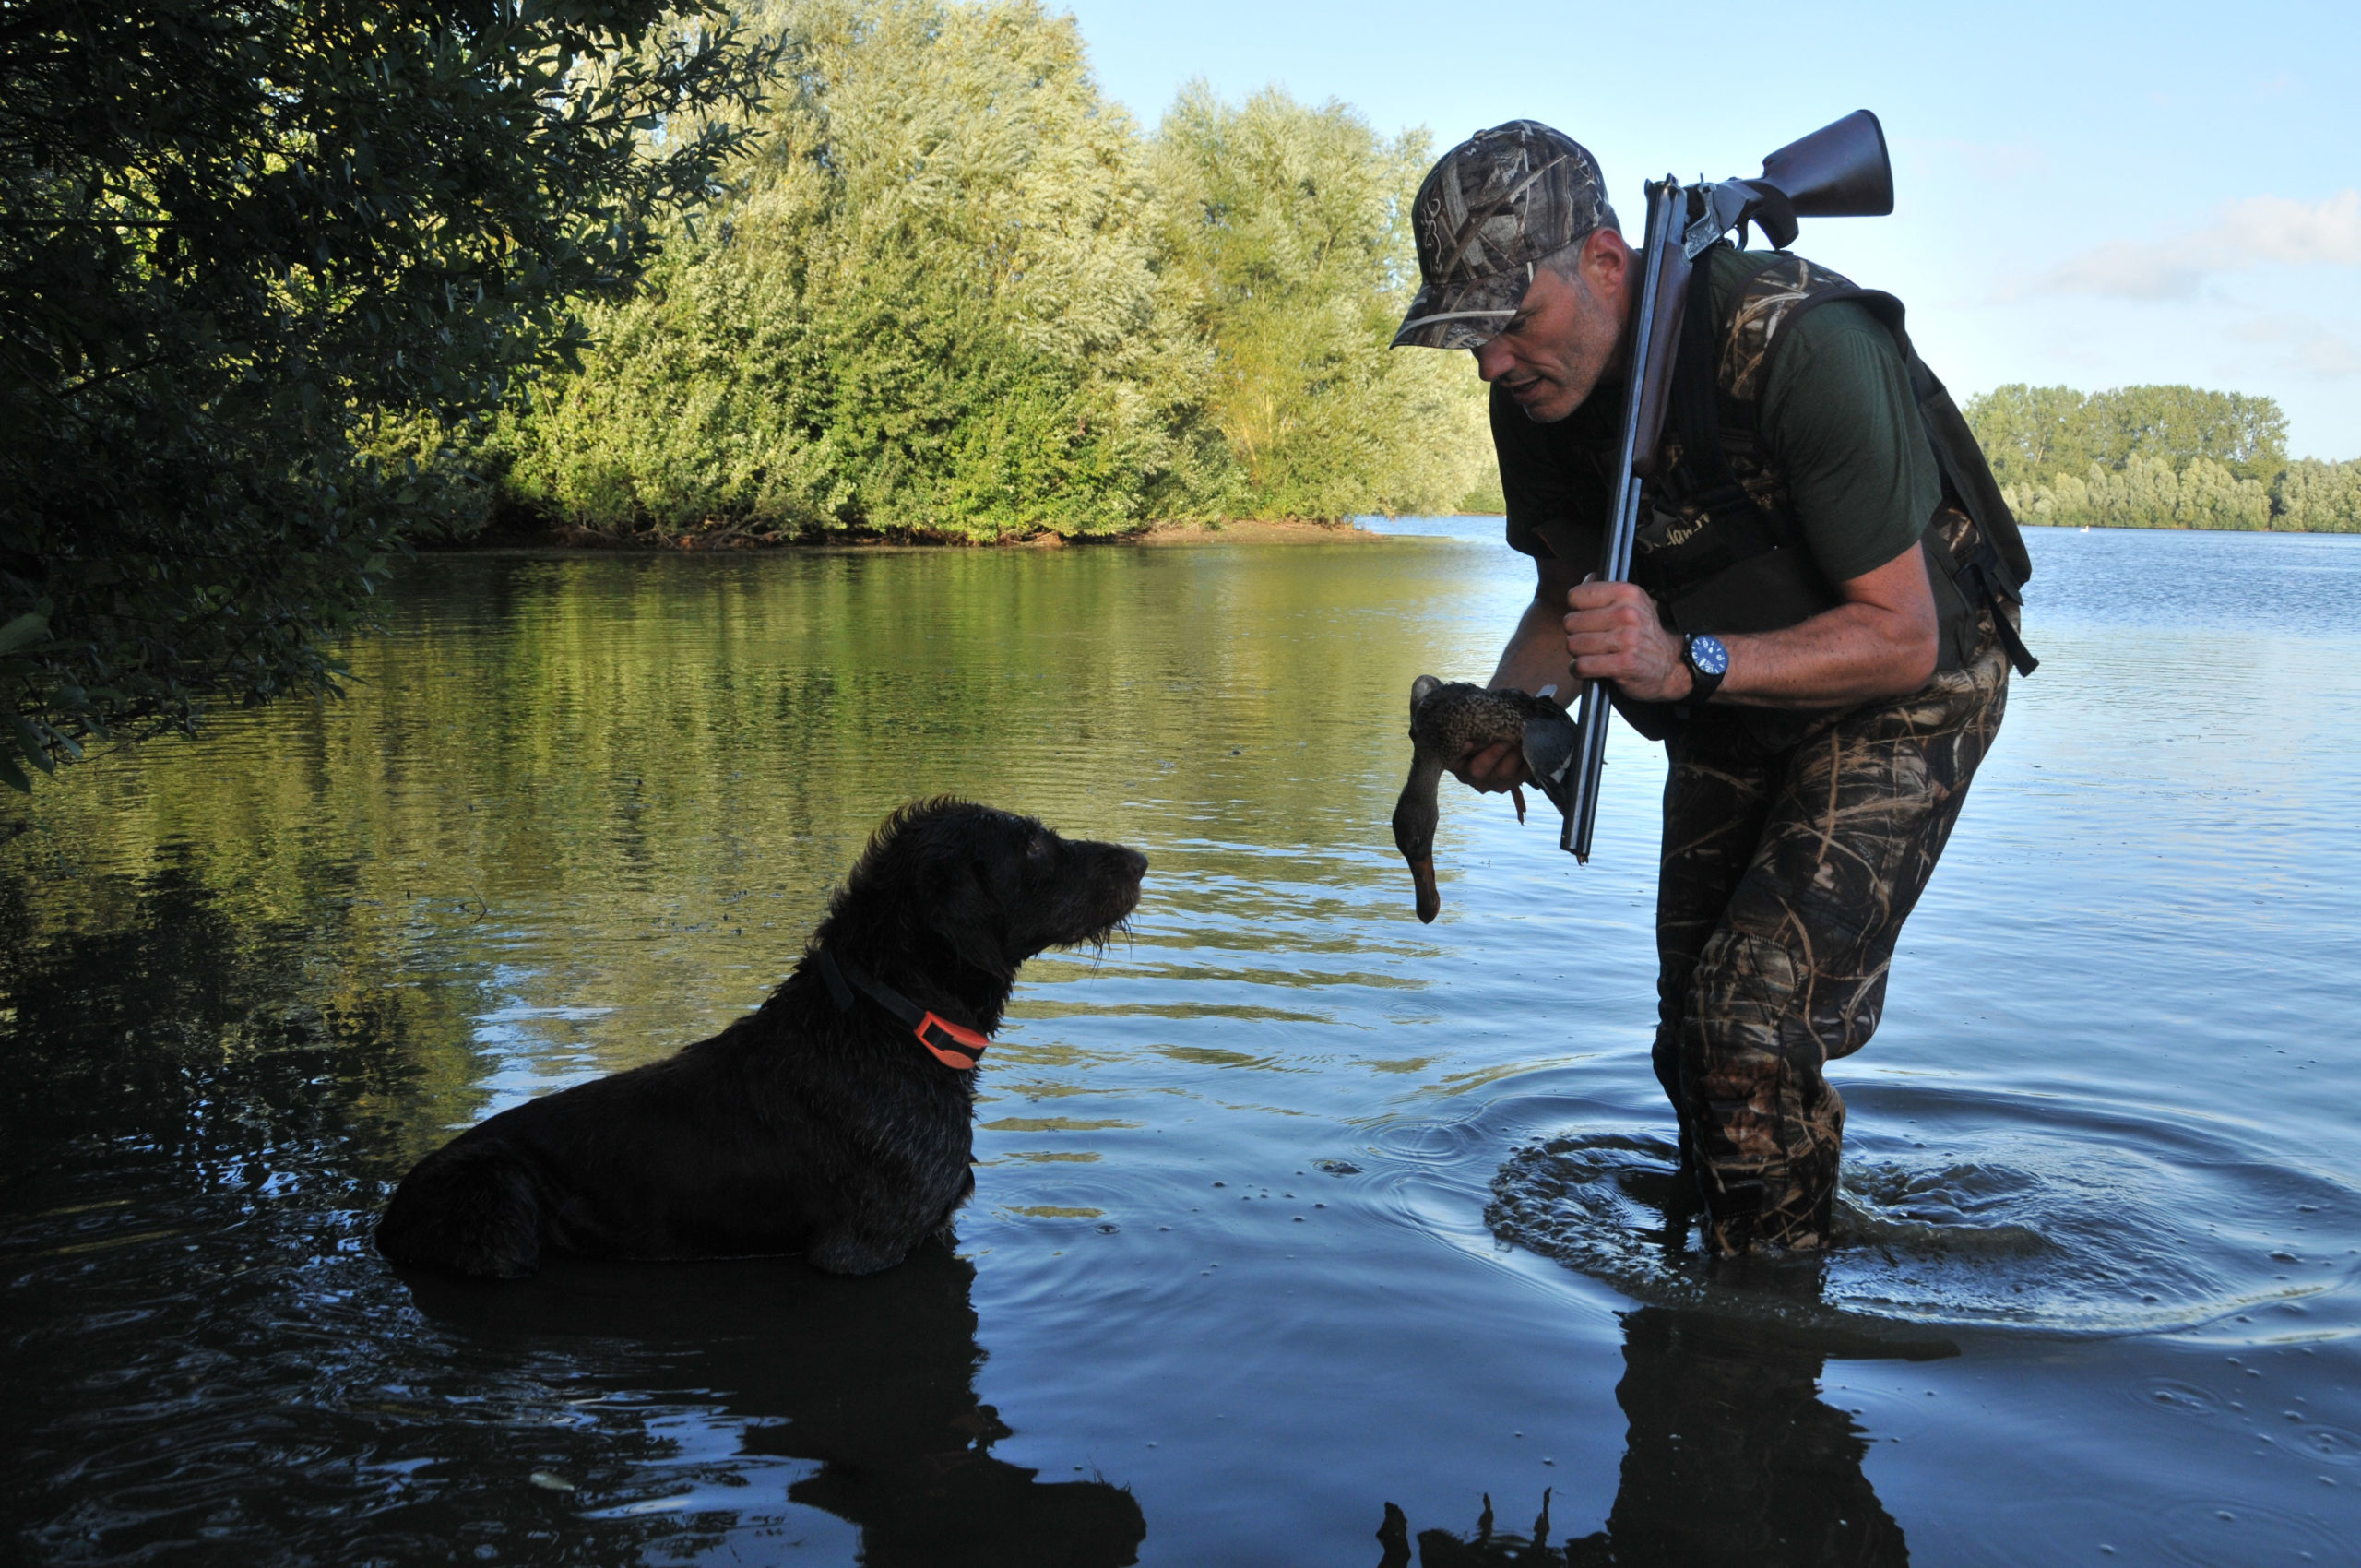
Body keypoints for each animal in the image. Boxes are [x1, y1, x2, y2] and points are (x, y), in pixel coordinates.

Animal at [377, 802, 1143, 1284]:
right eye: (1033, 845)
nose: (1138, 859)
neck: (888, 1025)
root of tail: (384, 1222)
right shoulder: (866, 1250)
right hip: (498, 1200)